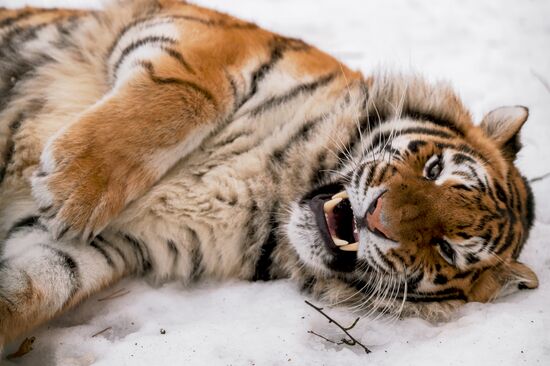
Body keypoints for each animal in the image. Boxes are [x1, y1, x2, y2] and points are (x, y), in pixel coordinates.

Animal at [0, 0, 540, 350]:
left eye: (447, 249)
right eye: (434, 169)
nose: (377, 218)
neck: (278, 188)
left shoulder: (115, 244)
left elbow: (36, 281)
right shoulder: (212, 38)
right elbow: (186, 94)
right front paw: (71, 186)